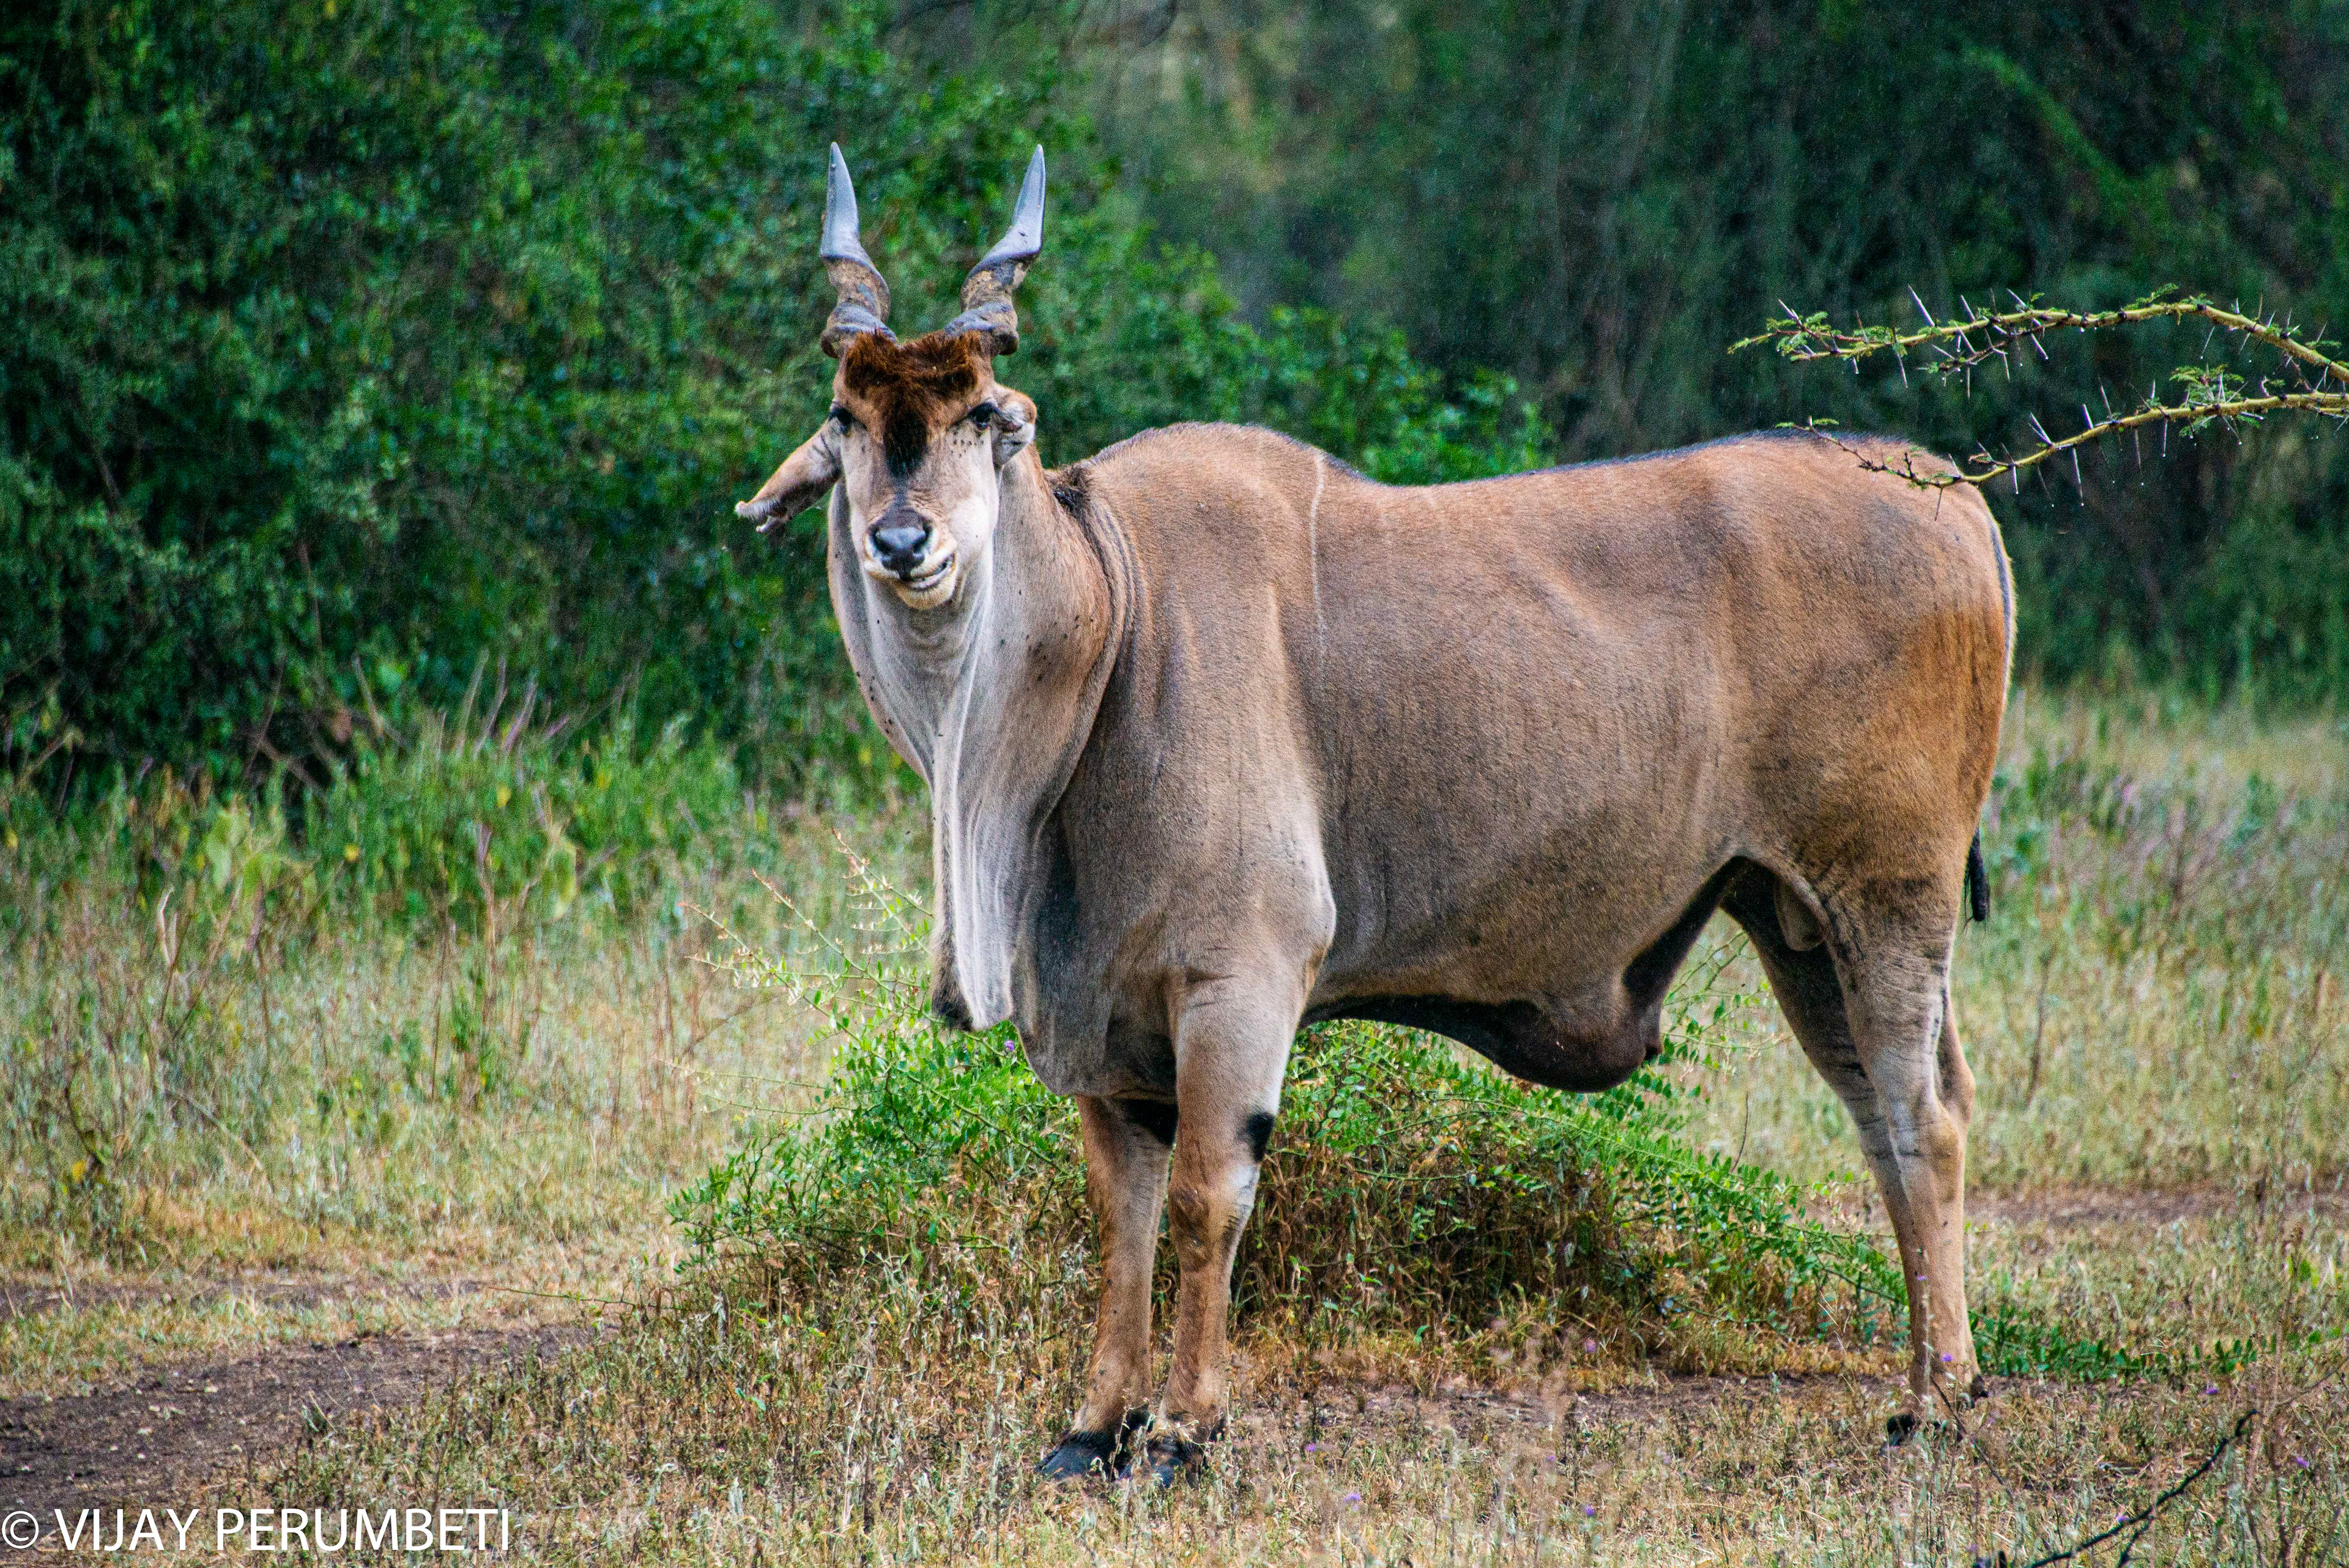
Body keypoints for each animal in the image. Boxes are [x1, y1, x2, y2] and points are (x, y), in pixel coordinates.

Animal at [739, 146, 2011, 1482]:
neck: (1115, 616)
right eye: (848, 418)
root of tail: (1954, 494)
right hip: (1794, 916)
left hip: (1885, 900)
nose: (901, 541)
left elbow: (1204, 1198)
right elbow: (1120, 1216)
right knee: (1888, 1112)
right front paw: (1093, 1426)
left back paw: (1937, 1400)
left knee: (1922, 1117)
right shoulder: (1100, 1022)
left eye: (981, 415)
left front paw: (1183, 1428)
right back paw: (1933, 1382)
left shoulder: (1239, 983)